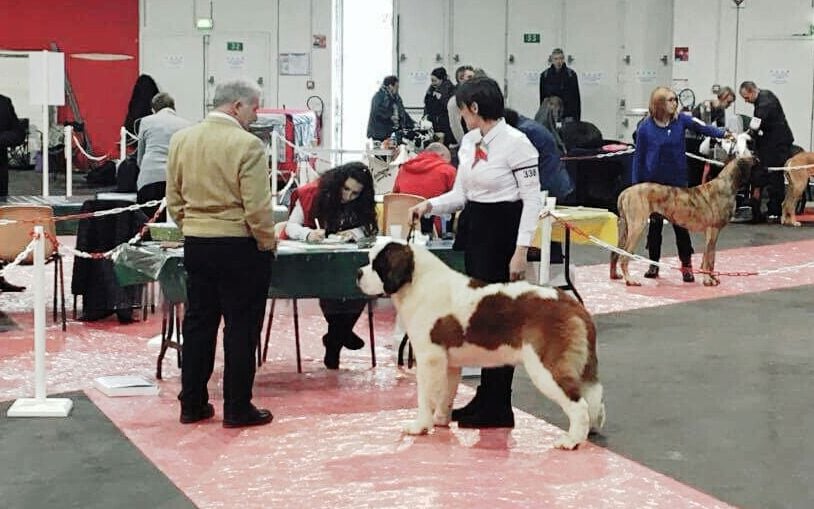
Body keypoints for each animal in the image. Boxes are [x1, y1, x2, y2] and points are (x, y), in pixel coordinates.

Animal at [356, 241, 604, 448]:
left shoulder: (429, 359)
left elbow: (425, 396)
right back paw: (590, 429)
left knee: (578, 403)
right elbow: (446, 392)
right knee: (593, 398)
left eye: (377, 265)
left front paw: (420, 426)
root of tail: (570, 303)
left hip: (546, 367)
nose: (358, 273)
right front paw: (441, 420)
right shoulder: (448, 363)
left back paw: (572, 440)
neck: (416, 282)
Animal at [608, 151, 756, 286]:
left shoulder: (711, 233)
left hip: (625, 228)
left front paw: (712, 278)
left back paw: (614, 275)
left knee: (615, 253)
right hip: (637, 227)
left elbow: (709, 257)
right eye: (757, 164)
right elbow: (709, 259)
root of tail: (625, 192)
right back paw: (630, 280)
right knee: (623, 256)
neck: (726, 184)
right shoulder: (712, 230)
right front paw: (708, 280)